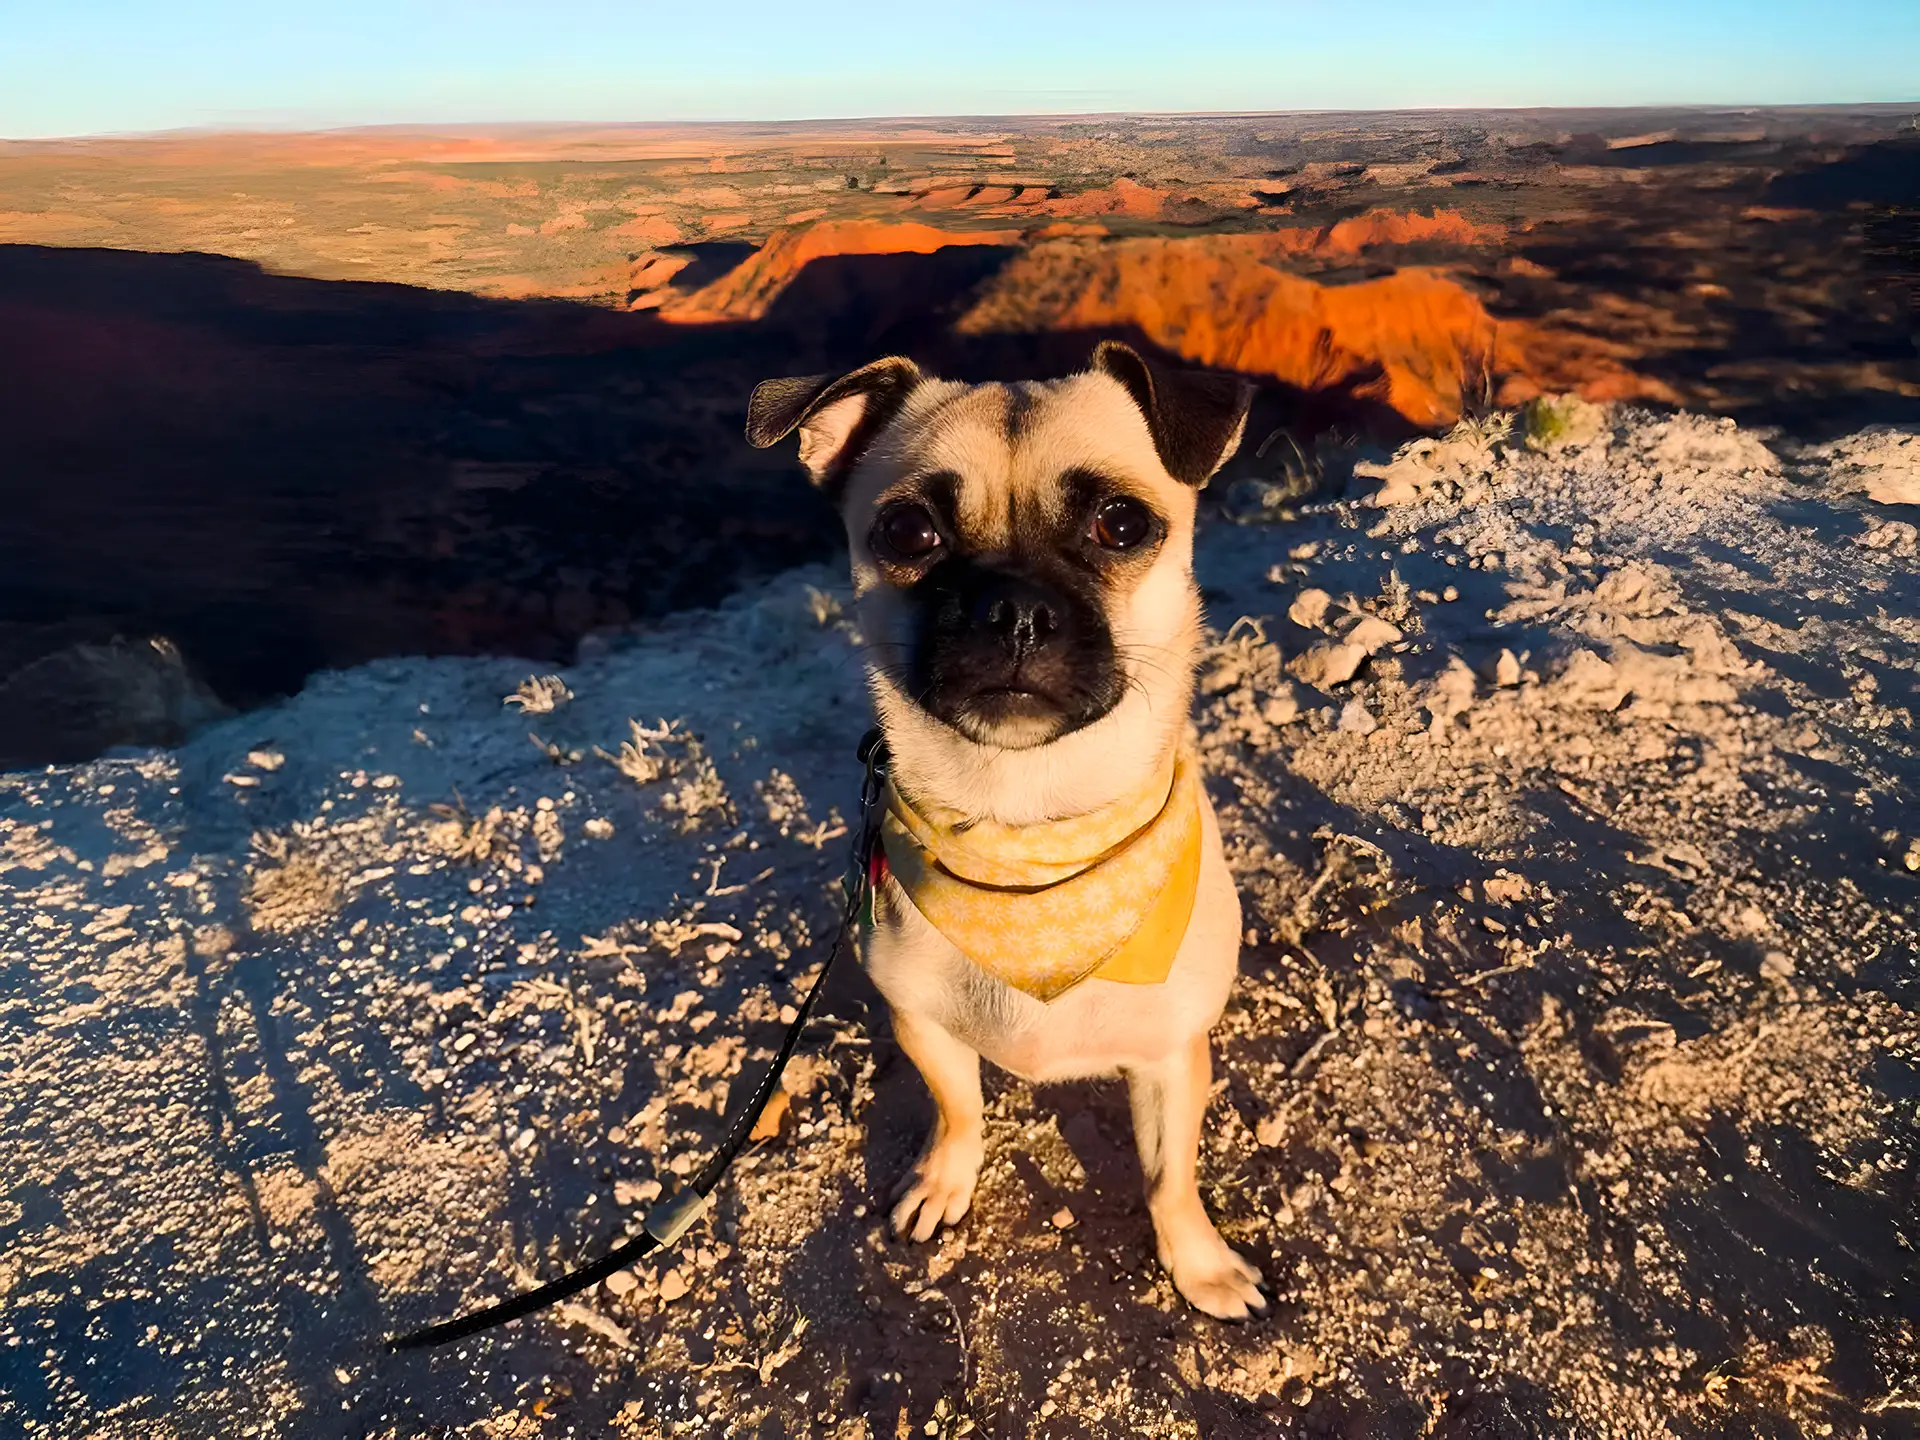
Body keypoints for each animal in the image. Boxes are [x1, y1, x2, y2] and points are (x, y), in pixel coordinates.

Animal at [741, 347, 1267, 1320]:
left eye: (1122, 523)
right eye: (908, 531)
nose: (1015, 609)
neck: (1025, 826)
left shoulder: (1171, 1061)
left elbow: (1171, 1179)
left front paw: (1198, 1263)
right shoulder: (922, 1024)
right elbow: (960, 1109)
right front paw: (945, 1180)